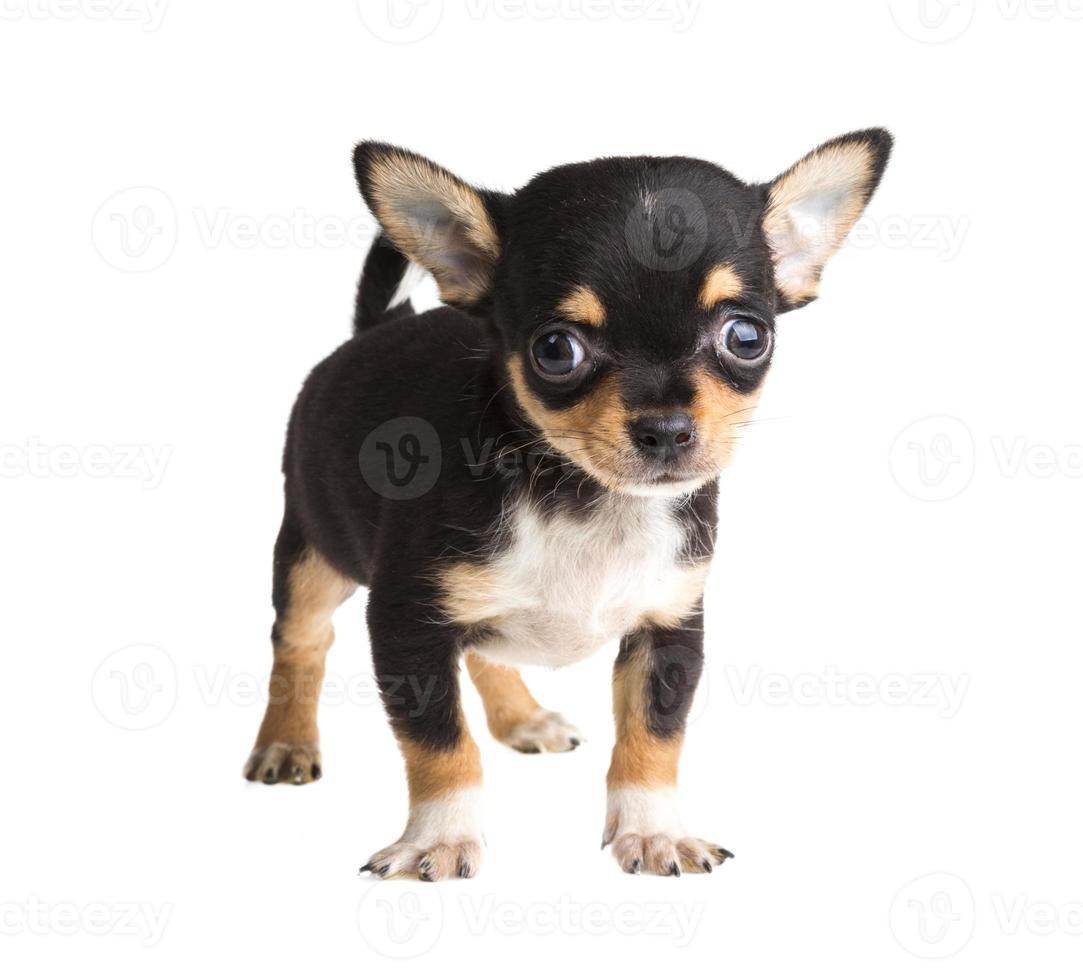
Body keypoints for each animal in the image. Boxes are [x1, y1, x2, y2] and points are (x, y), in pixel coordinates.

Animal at [248, 132, 896, 879]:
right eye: (556, 350)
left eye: (746, 337)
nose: (666, 428)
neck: (588, 499)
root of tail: (373, 329)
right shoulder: (406, 625)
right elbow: (440, 742)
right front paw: (440, 838)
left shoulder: (669, 626)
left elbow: (653, 733)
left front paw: (653, 830)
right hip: (310, 553)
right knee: (301, 642)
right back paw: (285, 743)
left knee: (484, 654)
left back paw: (521, 718)